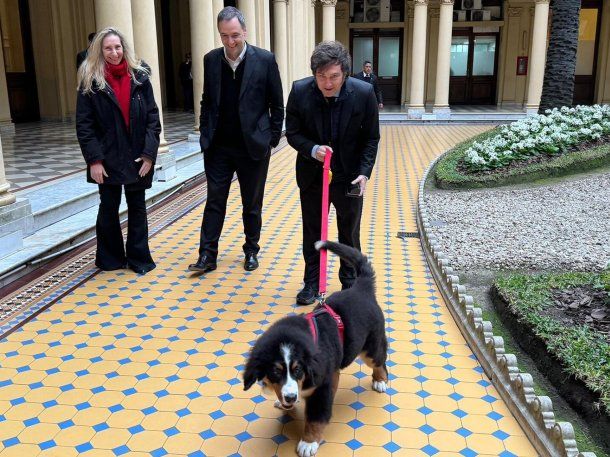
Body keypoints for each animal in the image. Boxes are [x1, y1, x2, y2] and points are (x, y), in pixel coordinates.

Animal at [241, 240, 388, 454]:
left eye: (298, 370)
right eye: (276, 372)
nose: (290, 397)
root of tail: (361, 287)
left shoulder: (324, 384)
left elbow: (316, 417)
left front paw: (308, 442)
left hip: (370, 346)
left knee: (379, 360)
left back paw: (380, 381)